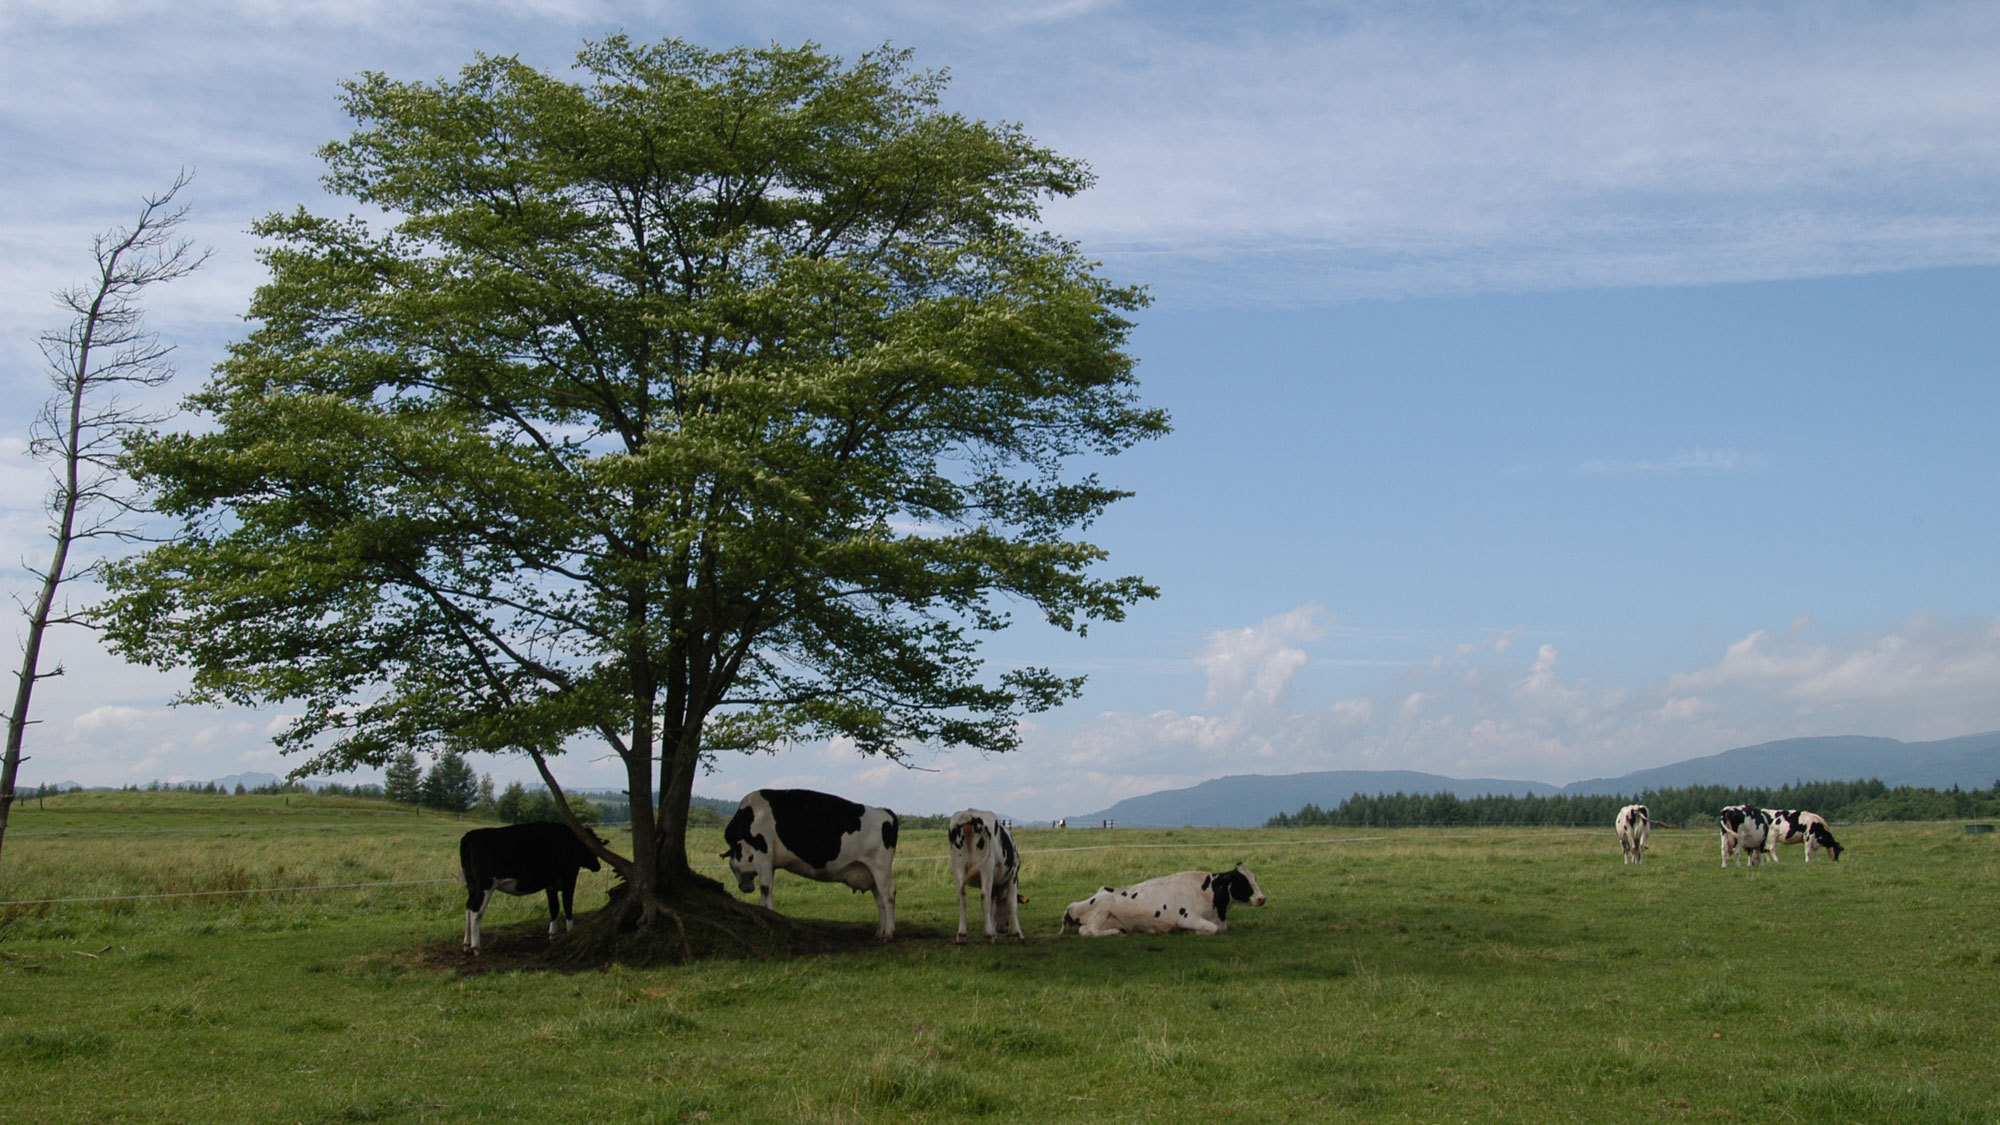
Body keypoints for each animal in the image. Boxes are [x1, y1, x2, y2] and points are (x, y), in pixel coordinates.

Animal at [458, 820, 600, 948]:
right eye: (592, 847)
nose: (598, 866)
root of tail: (471, 835)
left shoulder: (551, 884)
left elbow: (554, 907)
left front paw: (553, 935)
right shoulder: (569, 877)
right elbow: (567, 905)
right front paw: (571, 931)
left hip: (472, 885)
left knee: (468, 906)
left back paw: (466, 942)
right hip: (486, 885)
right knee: (476, 910)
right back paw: (475, 946)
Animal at [724, 788, 904, 936]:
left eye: (732, 868)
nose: (745, 888)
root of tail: (884, 811)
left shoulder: (763, 857)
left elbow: (765, 888)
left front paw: (770, 912)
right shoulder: (770, 864)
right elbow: (766, 889)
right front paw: (763, 911)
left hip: (880, 867)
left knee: (888, 895)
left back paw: (889, 933)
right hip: (870, 871)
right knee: (879, 898)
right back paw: (879, 932)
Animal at [944, 804, 1024, 936]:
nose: (1003, 928)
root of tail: (969, 815)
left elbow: (992, 908)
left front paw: (992, 928)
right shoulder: (1013, 876)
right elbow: (1012, 903)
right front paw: (1018, 933)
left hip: (958, 866)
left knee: (962, 897)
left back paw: (962, 934)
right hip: (986, 867)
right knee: (984, 896)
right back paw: (988, 935)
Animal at [1048, 860, 1264, 932]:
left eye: (1254, 878)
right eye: (1242, 882)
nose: (1262, 898)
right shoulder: (1188, 918)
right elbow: (1213, 929)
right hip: (1103, 906)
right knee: (1089, 930)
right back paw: (1116, 933)